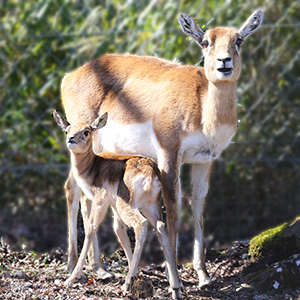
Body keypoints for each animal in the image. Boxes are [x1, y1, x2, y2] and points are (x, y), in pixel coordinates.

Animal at [52, 109, 182, 298]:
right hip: (151, 205)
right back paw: (175, 288)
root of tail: (150, 171)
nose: (71, 139)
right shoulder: (111, 205)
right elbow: (119, 230)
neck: (91, 168)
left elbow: (90, 228)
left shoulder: (100, 200)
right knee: (160, 226)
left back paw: (127, 284)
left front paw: (71, 279)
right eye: (67, 130)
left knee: (141, 224)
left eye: (86, 131)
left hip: (128, 204)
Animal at [61, 9, 262, 286]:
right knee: (72, 189)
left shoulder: (203, 160)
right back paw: (75, 267)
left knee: (84, 195)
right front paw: (172, 272)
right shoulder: (169, 153)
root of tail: (69, 76)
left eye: (238, 40)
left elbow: (198, 206)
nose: (224, 62)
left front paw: (203, 274)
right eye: (206, 42)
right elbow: (173, 209)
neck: (202, 108)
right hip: (83, 143)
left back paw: (99, 268)